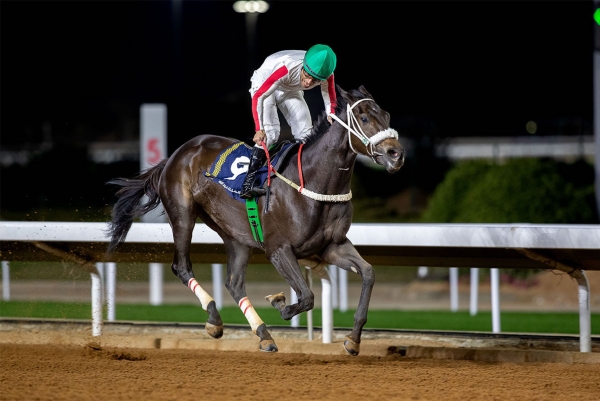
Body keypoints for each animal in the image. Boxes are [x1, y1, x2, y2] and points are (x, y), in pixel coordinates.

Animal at [106, 83, 408, 354]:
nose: (396, 154)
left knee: (234, 283)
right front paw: (280, 302)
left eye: (387, 115)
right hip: (183, 215)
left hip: (235, 235)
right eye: (364, 118)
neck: (315, 182)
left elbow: (368, 273)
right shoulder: (278, 249)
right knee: (182, 267)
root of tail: (177, 154)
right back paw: (214, 319)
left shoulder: (330, 247)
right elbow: (307, 297)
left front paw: (353, 339)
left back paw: (263, 335)